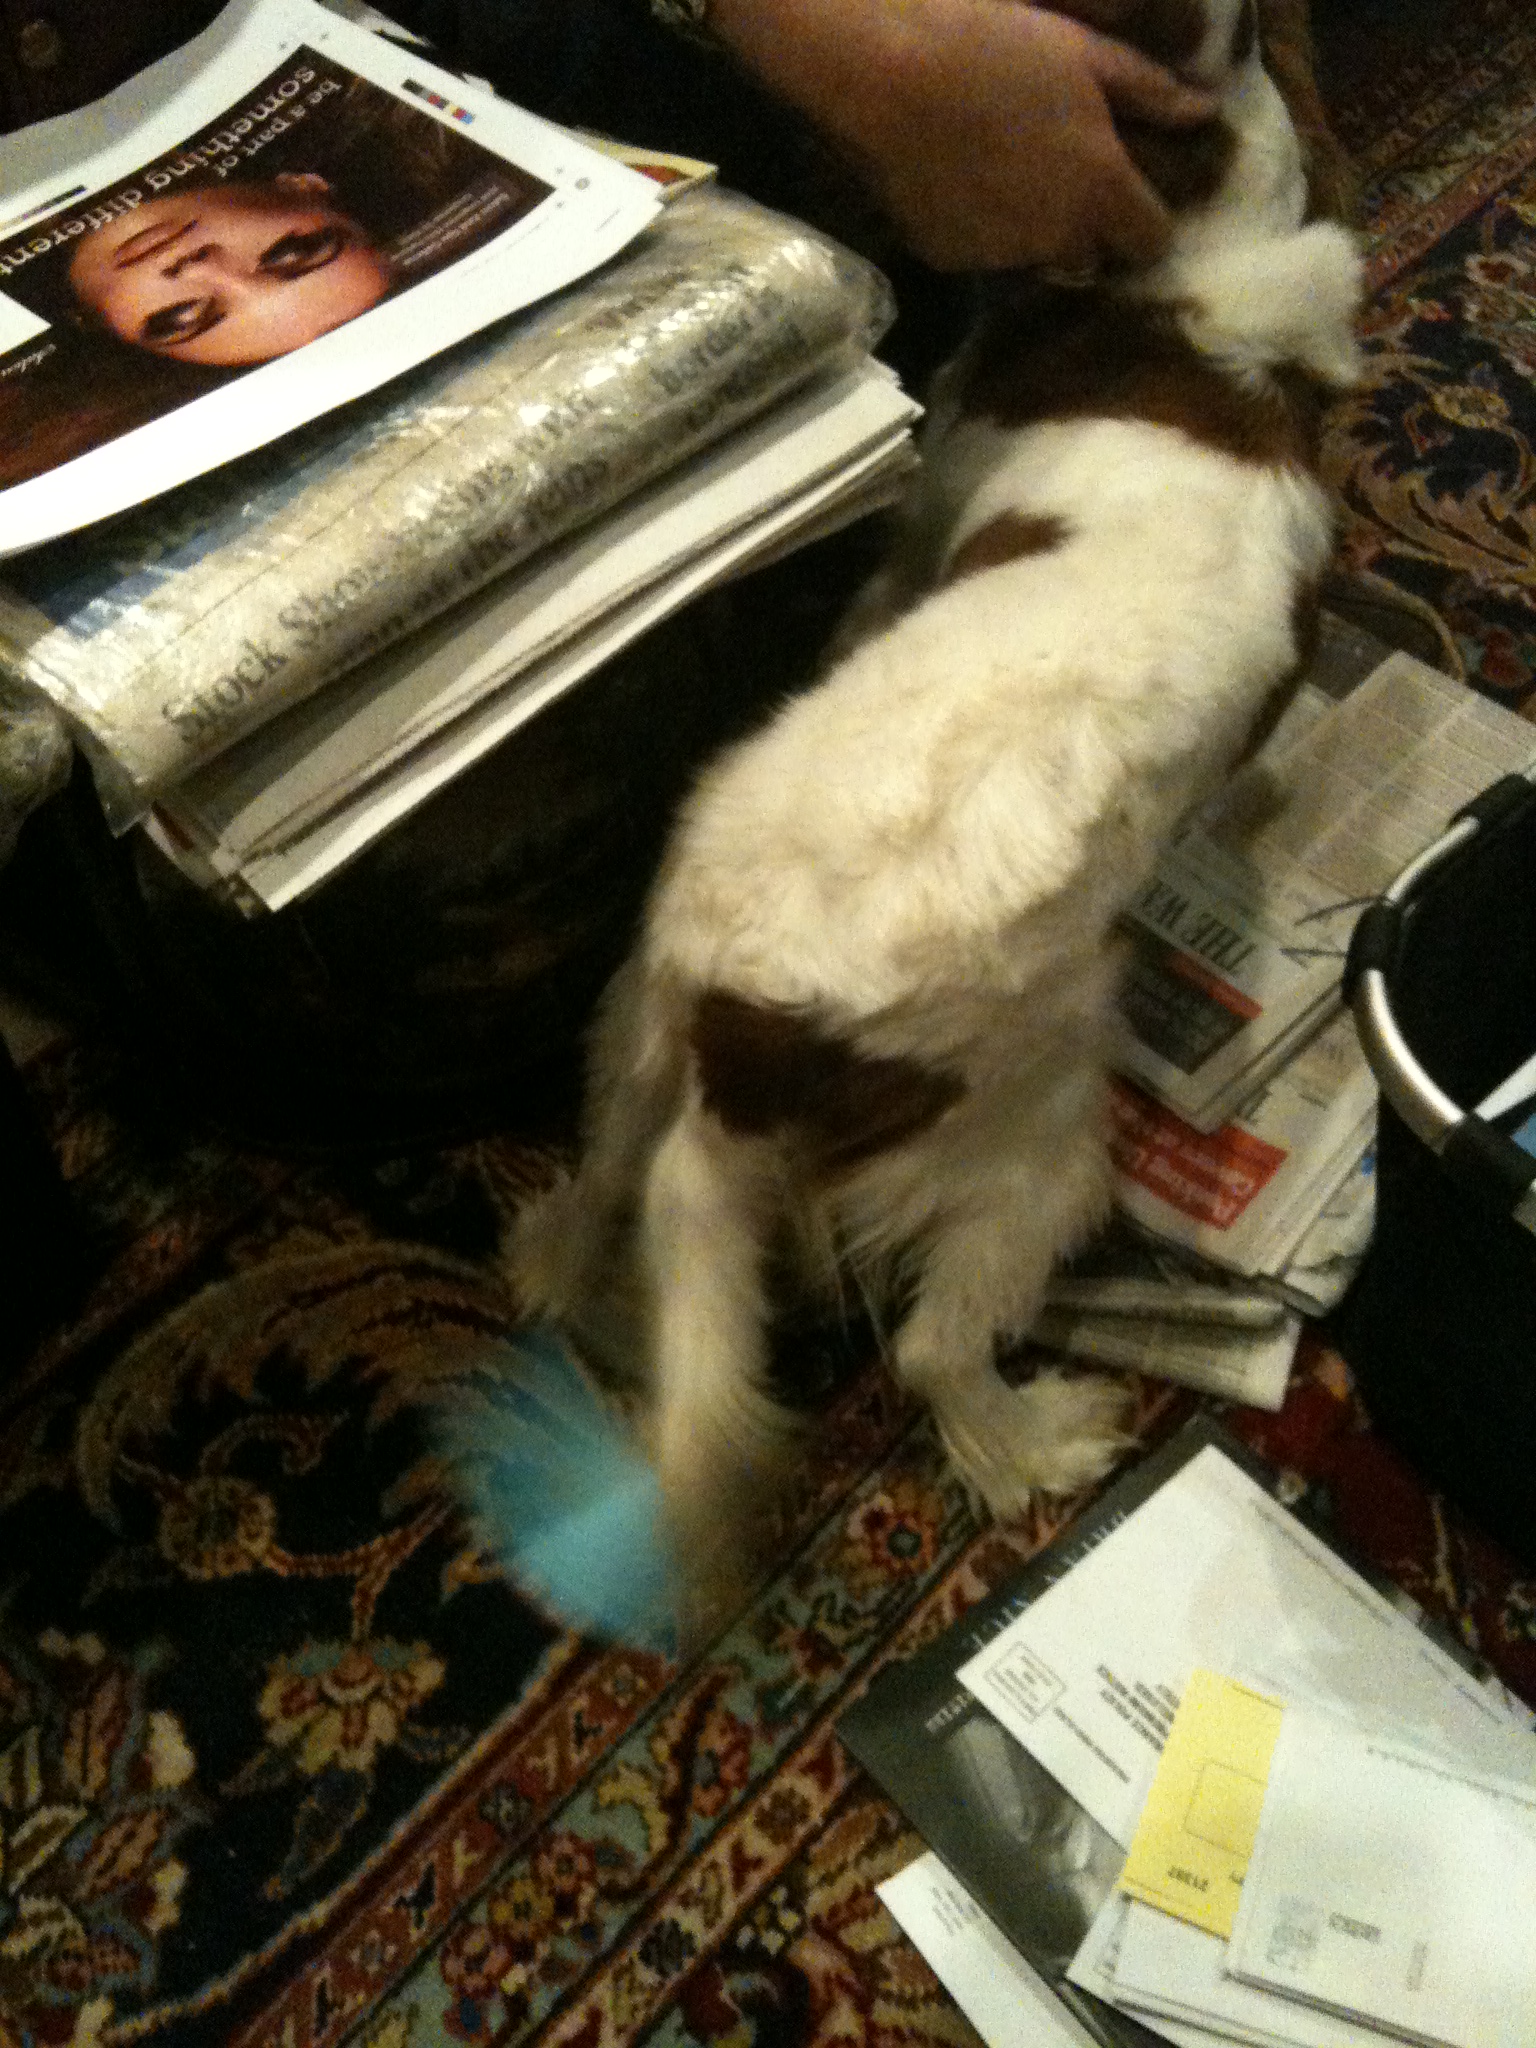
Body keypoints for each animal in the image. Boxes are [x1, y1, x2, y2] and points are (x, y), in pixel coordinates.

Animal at [512, 0, 1363, 1627]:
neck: (1186, 302)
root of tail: (742, 1022)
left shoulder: (908, 543)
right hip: (1037, 1132)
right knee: (930, 1349)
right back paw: (1033, 1442)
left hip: (633, 1031)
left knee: (598, 1195)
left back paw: (572, 1283)